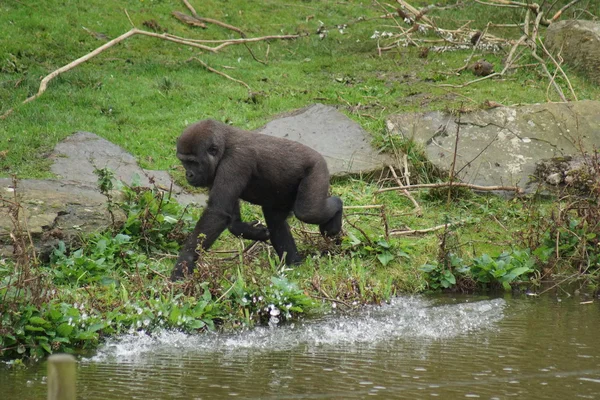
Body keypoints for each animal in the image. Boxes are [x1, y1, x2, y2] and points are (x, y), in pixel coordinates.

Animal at [172, 120, 342, 280]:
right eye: (184, 162)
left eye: (193, 162)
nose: (189, 174)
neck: (223, 147)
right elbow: (230, 219)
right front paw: (253, 231)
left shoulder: (236, 161)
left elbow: (217, 213)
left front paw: (183, 265)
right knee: (276, 221)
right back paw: (293, 264)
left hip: (317, 167)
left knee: (308, 212)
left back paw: (337, 211)